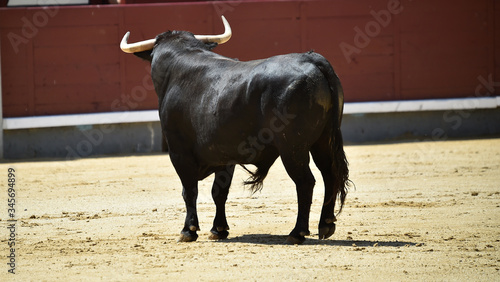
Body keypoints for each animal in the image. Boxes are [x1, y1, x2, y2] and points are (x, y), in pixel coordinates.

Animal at [135, 29, 350, 243]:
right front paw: (218, 229)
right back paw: (326, 224)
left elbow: (190, 191)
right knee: (329, 175)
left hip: (292, 148)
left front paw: (188, 230)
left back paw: (297, 232)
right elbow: (219, 192)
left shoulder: (179, 152)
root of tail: (311, 58)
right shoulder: (224, 155)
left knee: (305, 182)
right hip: (323, 141)